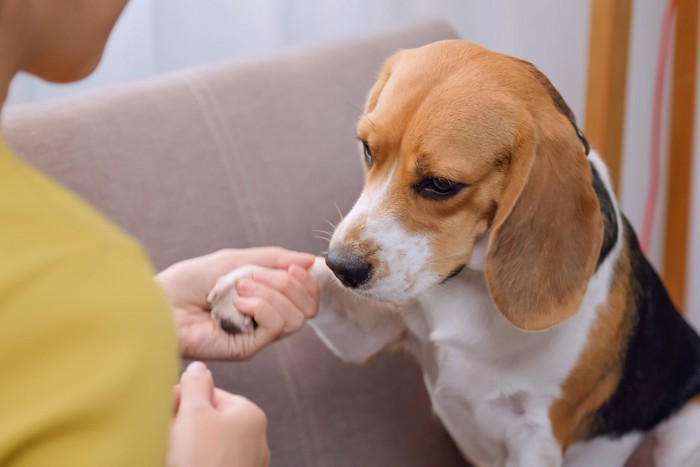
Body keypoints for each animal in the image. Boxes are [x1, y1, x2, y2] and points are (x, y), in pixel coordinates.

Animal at [211, 41, 700, 467]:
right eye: (367, 150)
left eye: (440, 185)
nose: (343, 266)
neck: (470, 285)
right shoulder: (372, 332)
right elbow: (313, 277)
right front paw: (252, 285)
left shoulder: (536, 438)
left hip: (684, 429)